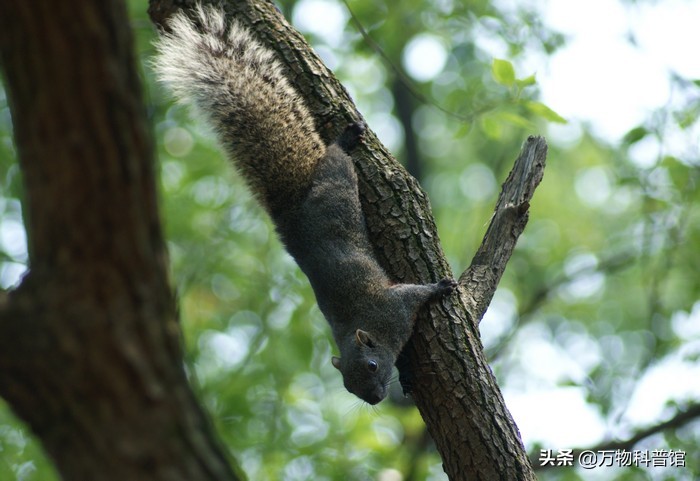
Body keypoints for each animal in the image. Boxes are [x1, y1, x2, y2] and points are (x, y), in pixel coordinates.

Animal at [154, 5, 456, 404]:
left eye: (372, 366)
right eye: (350, 388)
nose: (375, 398)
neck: (366, 329)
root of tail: (291, 209)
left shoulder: (393, 308)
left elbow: (416, 293)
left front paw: (441, 288)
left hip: (337, 183)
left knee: (336, 158)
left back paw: (345, 139)